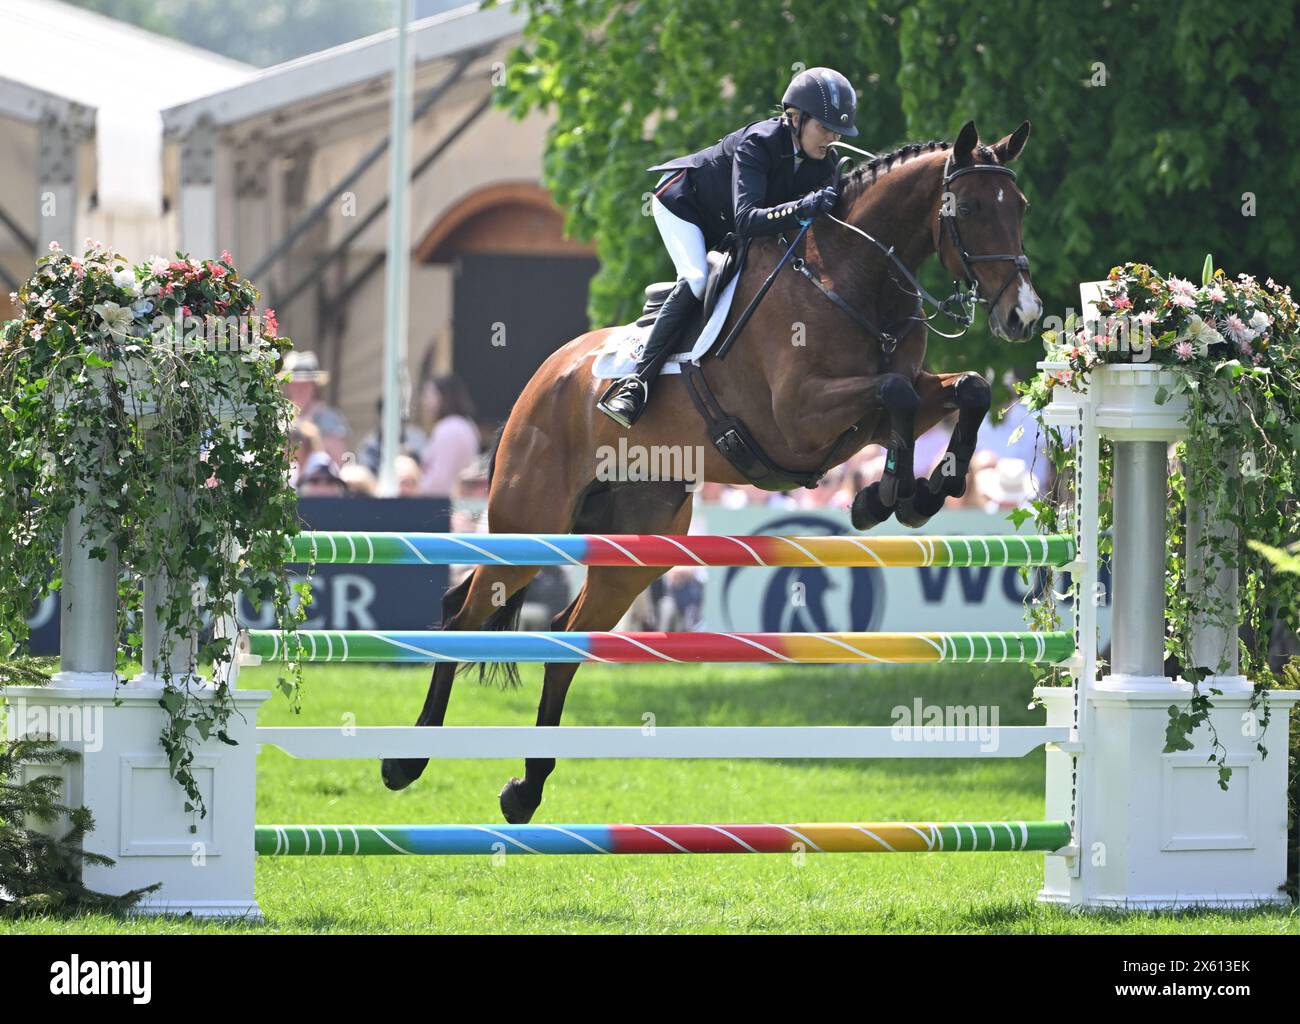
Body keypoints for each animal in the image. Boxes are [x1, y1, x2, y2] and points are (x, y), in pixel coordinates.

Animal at [379, 120, 1040, 826]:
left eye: (1021, 208)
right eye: (971, 207)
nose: (1023, 316)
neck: (853, 281)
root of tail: (544, 378)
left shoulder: (872, 406)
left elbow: (961, 390)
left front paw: (914, 493)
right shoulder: (800, 416)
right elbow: (897, 395)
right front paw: (888, 495)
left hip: (634, 548)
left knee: (564, 639)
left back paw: (525, 789)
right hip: (531, 522)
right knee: (464, 616)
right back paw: (405, 762)